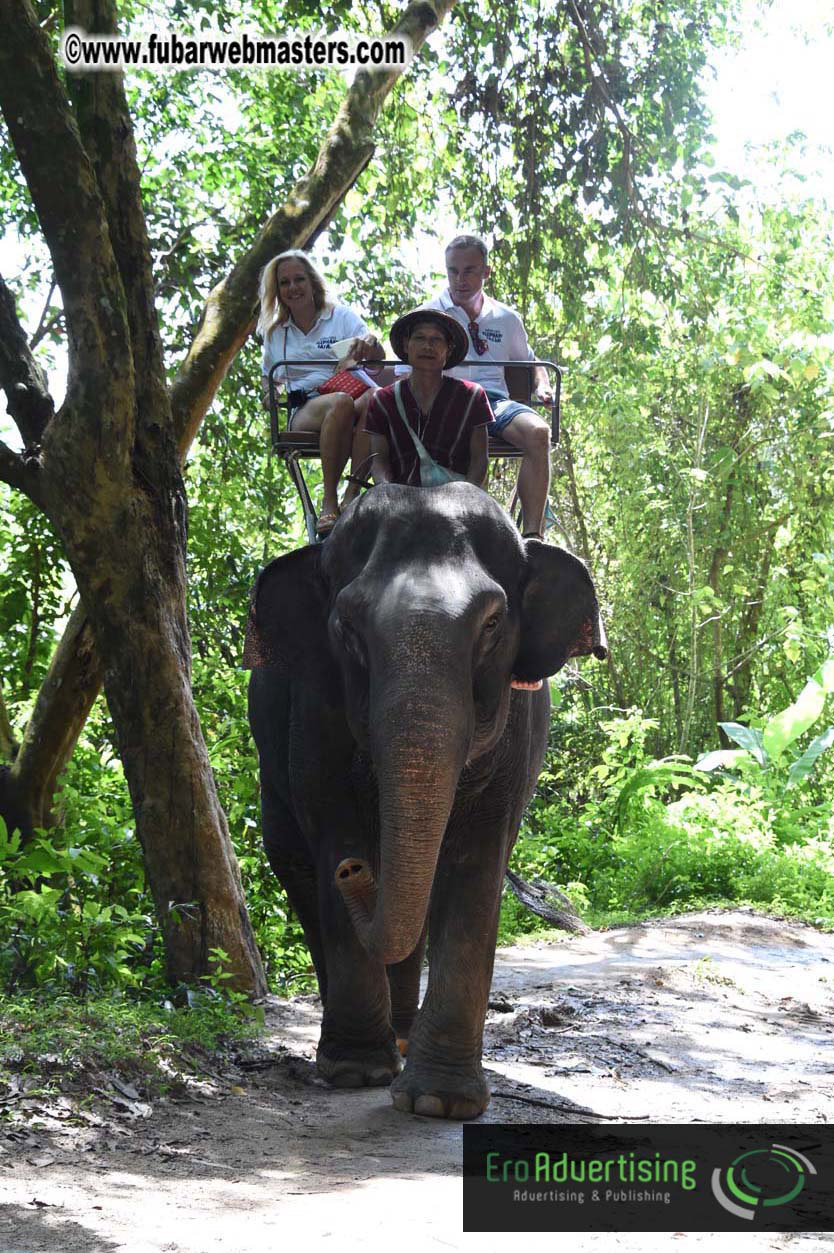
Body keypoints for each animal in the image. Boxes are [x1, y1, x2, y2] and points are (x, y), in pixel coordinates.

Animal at [243, 482, 606, 1119]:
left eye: (492, 624)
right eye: (347, 628)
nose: (353, 871)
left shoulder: (518, 730)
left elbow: (478, 862)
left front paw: (439, 1102)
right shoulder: (314, 709)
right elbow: (334, 825)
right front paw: (356, 1072)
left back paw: (405, 1035)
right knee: (297, 867)